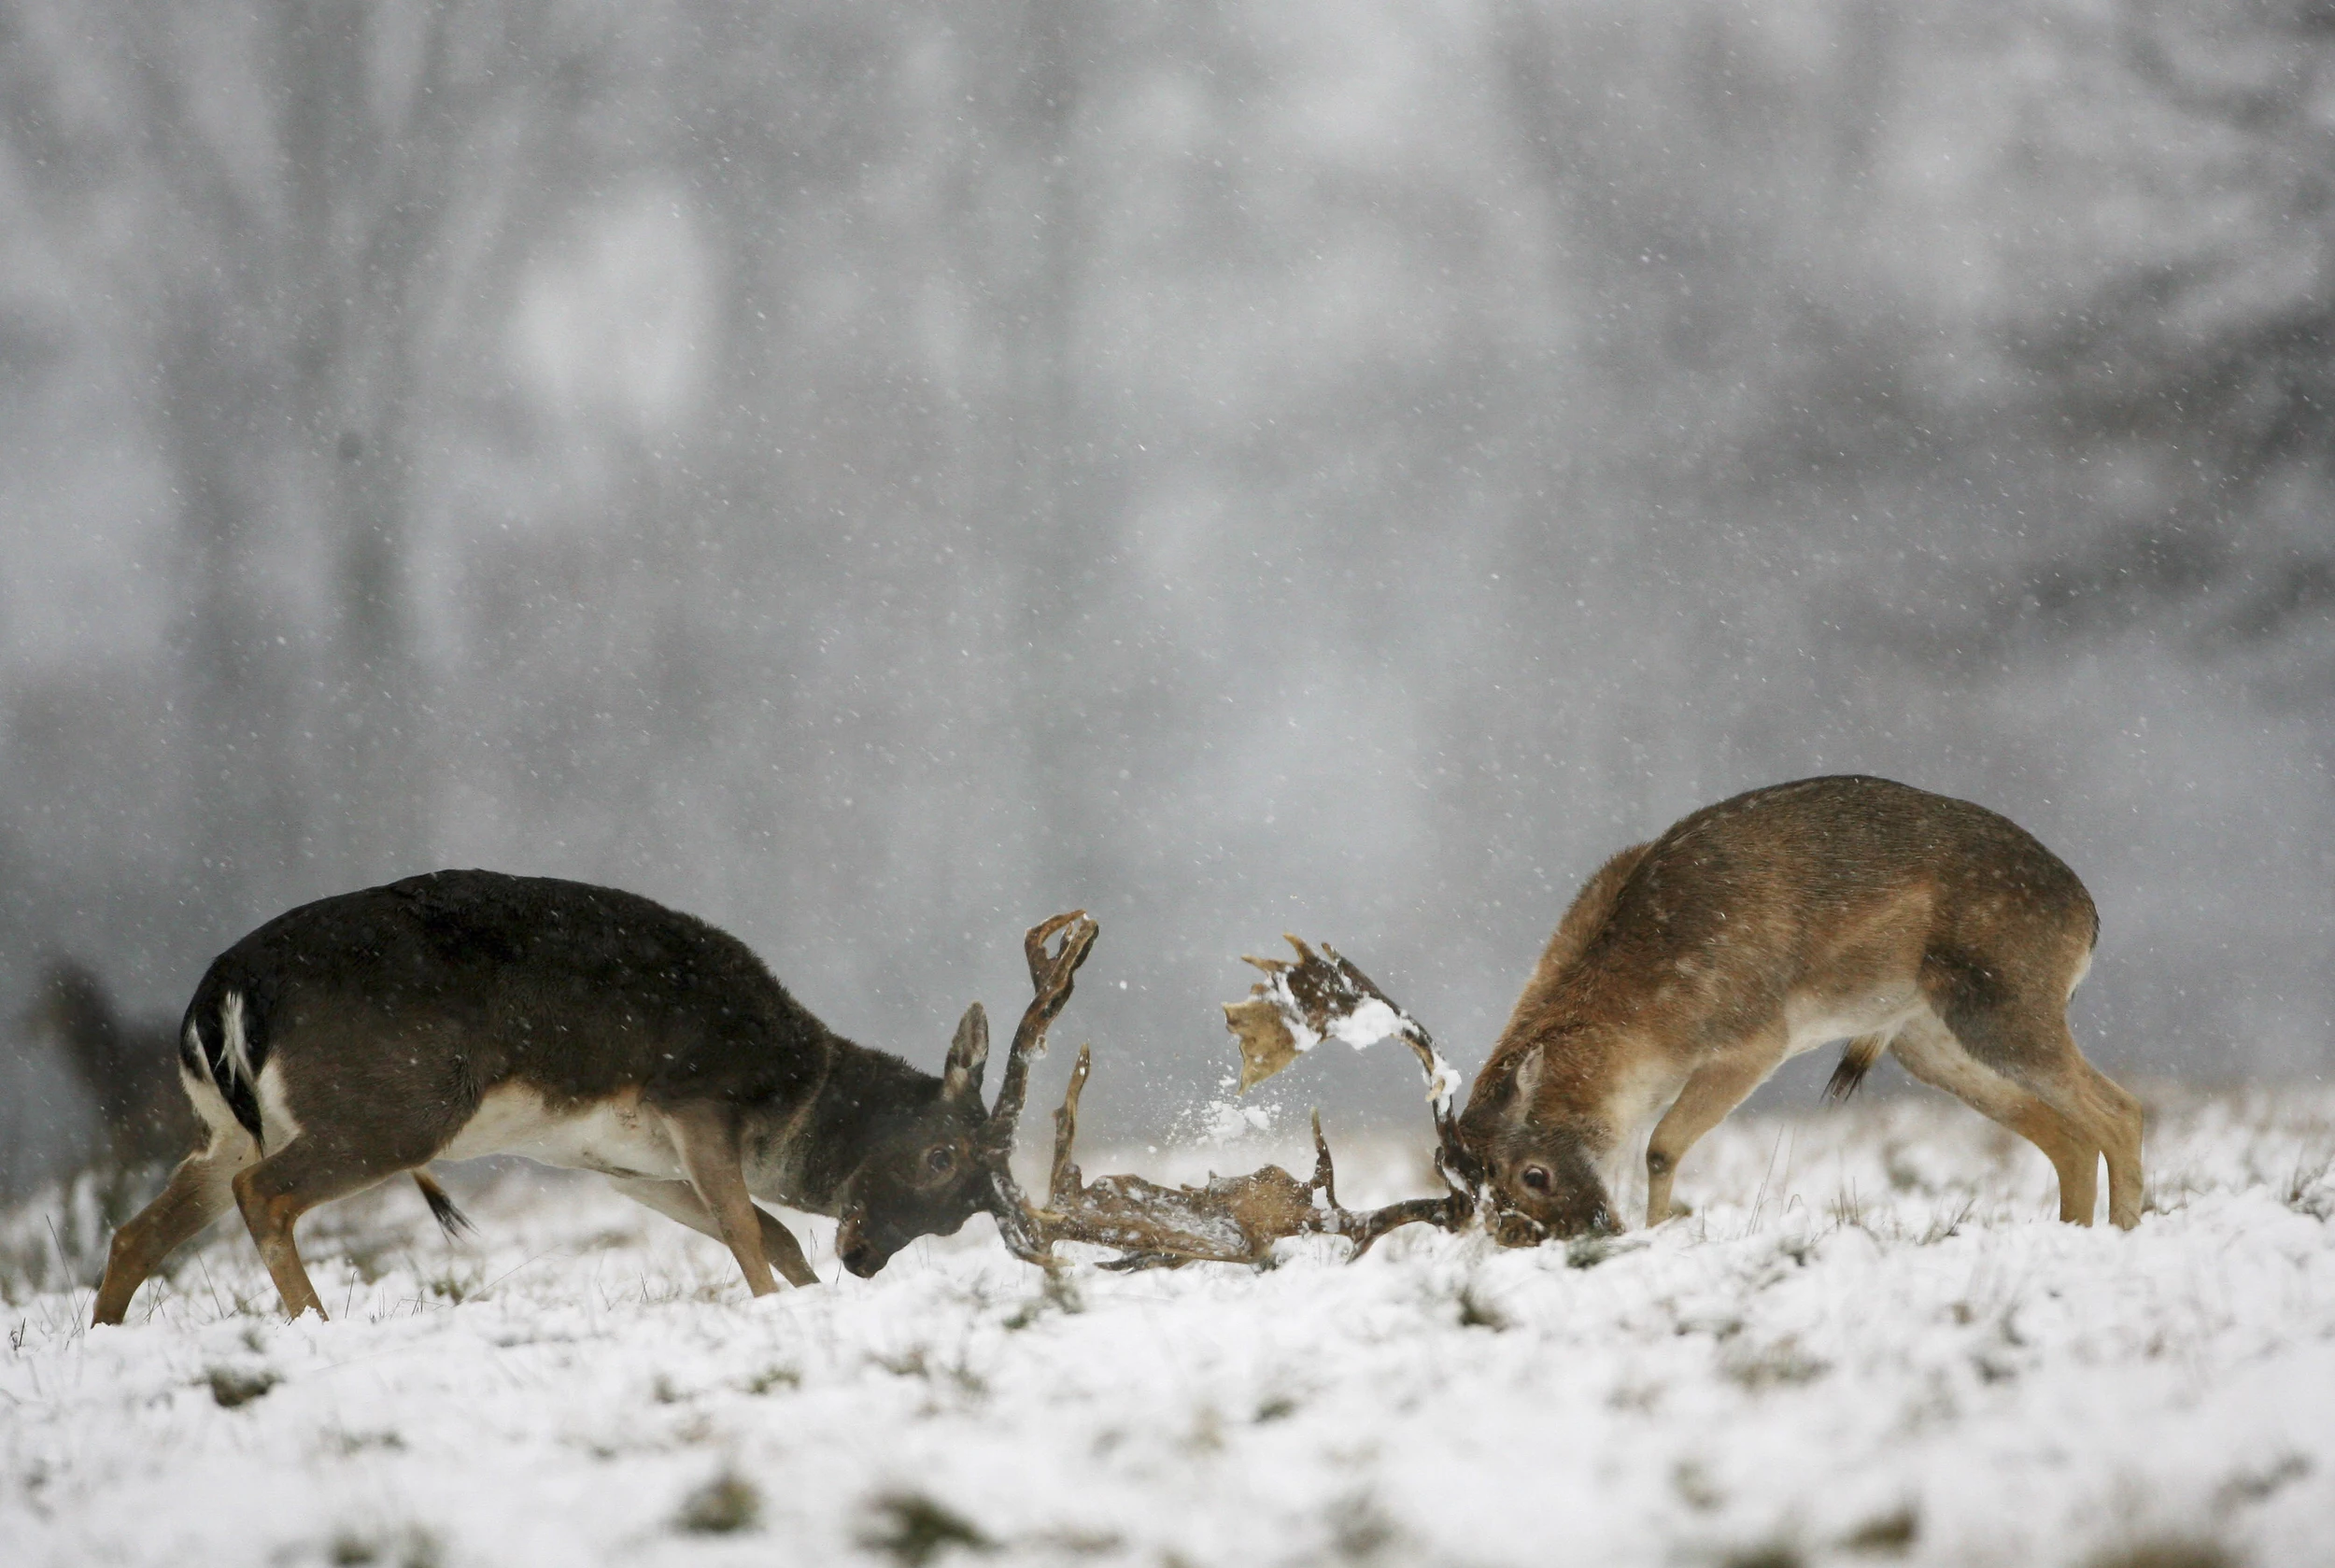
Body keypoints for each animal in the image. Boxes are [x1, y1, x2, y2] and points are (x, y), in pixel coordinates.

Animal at [95, 868, 1004, 1325]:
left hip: (225, 1126)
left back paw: (102, 1331)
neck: (793, 1092)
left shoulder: (624, 1164)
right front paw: (779, 1308)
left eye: (967, 1211)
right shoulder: (697, 1095)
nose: (866, 1257)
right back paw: (315, 1323)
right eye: (942, 1153)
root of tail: (223, 991)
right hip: (398, 1102)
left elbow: (764, 1228)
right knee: (265, 1192)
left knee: (138, 1229)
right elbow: (750, 1227)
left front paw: (807, 1297)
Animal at [1457, 779, 2148, 1241]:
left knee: (2120, 1110)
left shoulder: (1756, 1036)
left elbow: (1660, 1146)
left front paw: (1656, 1233)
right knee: (2067, 1135)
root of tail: (2088, 918)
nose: (1556, 1238)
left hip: (2007, 1004)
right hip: (1928, 1040)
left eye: (1534, 1174)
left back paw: (2122, 1231)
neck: (1649, 1020)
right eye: (1470, 1184)